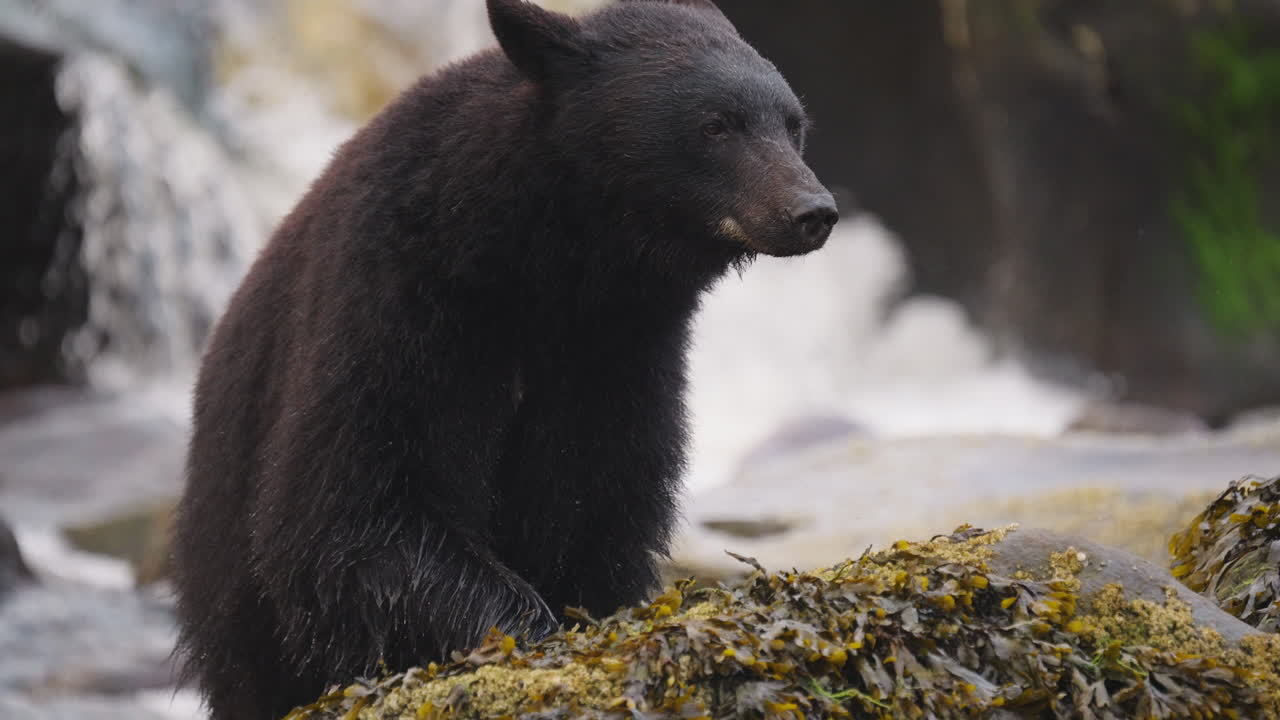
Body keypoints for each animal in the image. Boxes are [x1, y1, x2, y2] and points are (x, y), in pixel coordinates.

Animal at [171, 1, 837, 718]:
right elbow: (353, 511)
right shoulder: (393, 307)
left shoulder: (619, 359)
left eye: (793, 124)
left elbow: (600, 506)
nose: (813, 211)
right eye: (715, 124)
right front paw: (524, 631)